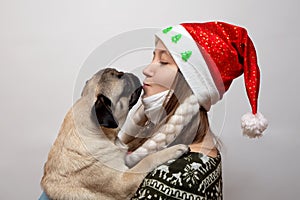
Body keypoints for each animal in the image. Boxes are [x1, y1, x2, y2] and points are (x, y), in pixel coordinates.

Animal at [41, 68, 189, 199]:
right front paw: (174, 150)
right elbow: (147, 160)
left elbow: (137, 156)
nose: (130, 75)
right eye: (125, 84)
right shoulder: (123, 181)